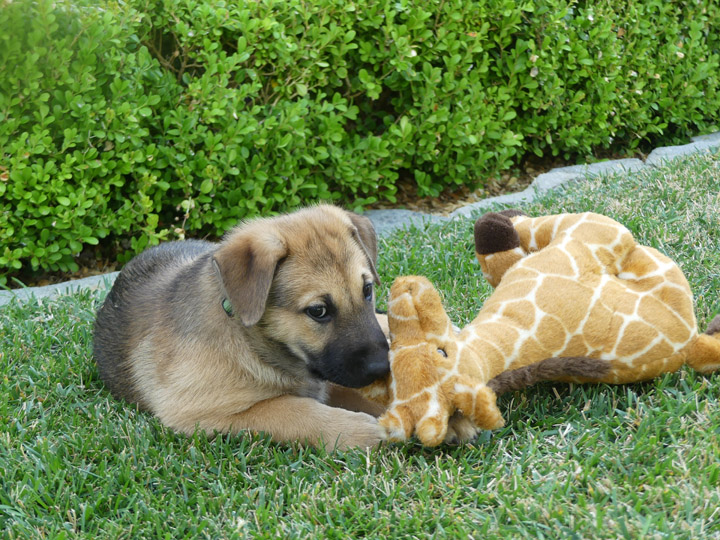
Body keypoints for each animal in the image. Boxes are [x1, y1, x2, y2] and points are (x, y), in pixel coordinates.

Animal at [94, 205, 394, 450]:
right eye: (318, 311)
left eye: (367, 290)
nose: (382, 368)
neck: (249, 340)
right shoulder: (198, 412)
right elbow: (289, 409)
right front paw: (351, 430)